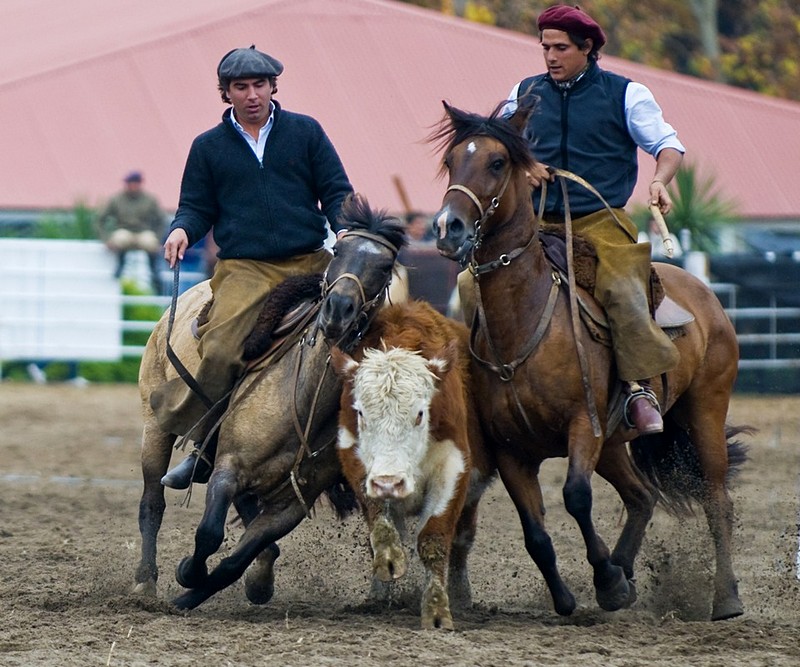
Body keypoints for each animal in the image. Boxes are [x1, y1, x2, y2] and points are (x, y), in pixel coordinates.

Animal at [134, 193, 406, 612]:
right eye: (340, 250)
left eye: (384, 265)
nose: (338, 309)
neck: (304, 401)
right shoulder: (227, 467)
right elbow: (209, 533)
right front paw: (188, 575)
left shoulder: (291, 504)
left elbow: (236, 559)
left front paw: (219, 587)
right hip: (155, 425)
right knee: (152, 503)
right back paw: (144, 583)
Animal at [332, 302, 494, 632]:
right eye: (361, 413)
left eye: (420, 413)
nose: (389, 483)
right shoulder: (353, 454)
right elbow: (380, 520)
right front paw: (389, 559)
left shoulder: (453, 467)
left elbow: (434, 539)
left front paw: (437, 609)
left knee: (462, 541)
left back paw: (461, 594)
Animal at [432, 102, 752, 624]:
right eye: (451, 160)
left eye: (497, 162)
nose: (447, 227)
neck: (524, 322)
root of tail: (703, 292)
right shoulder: (512, 452)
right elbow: (536, 534)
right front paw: (578, 594)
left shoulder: (583, 424)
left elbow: (576, 498)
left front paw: (607, 580)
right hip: (615, 443)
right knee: (642, 496)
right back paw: (626, 570)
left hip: (704, 410)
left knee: (716, 500)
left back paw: (723, 599)